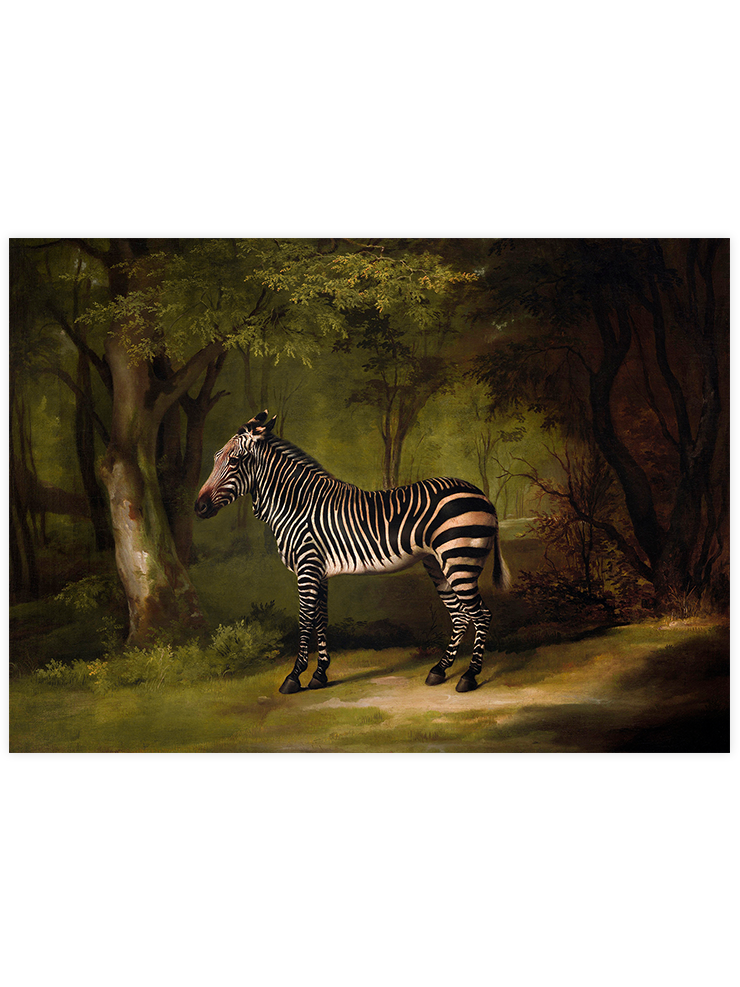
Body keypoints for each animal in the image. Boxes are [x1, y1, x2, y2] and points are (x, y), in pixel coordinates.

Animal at [195, 411, 510, 695]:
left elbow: (305, 621)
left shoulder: (307, 567)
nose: (198, 507)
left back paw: (469, 676)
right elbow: (321, 619)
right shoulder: (319, 571)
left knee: (481, 615)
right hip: (438, 563)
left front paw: (294, 677)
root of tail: (482, 494)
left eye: (234, 461)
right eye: (215, 458)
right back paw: (439, 670)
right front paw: (319, 675)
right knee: (460, 615)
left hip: (459, 559)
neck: (296, 505)